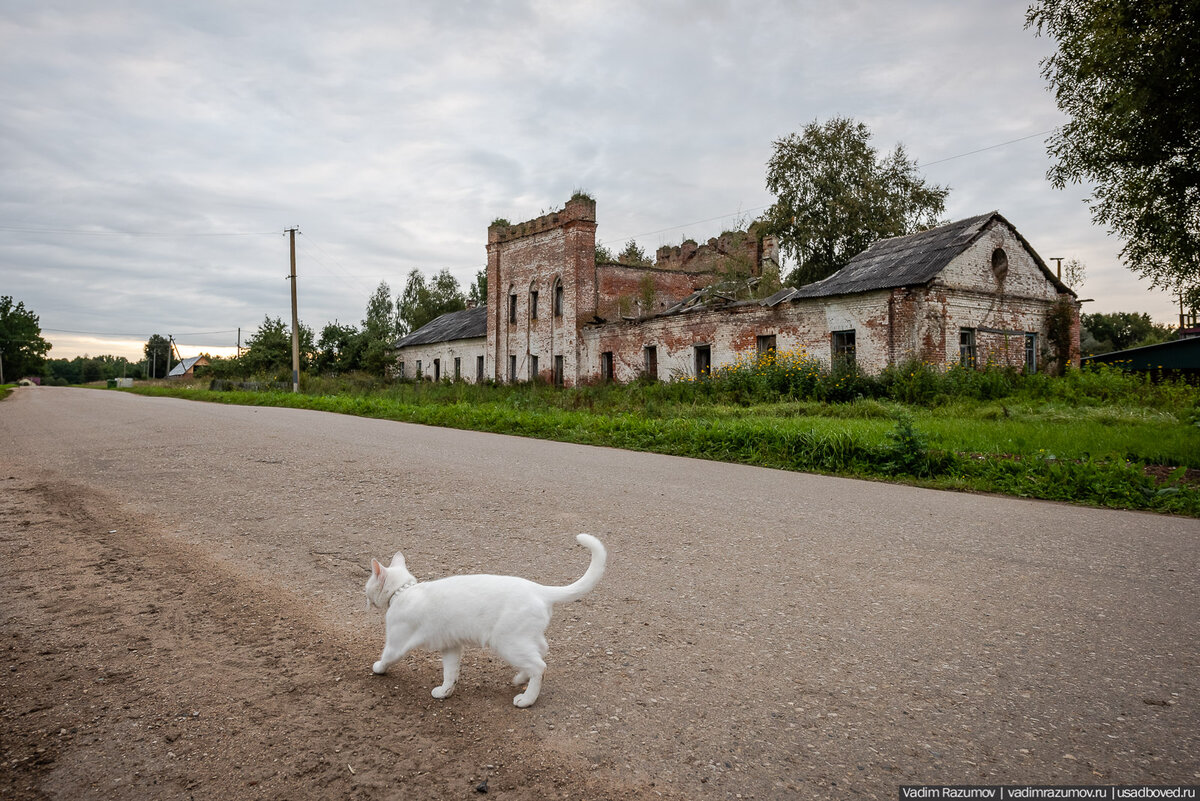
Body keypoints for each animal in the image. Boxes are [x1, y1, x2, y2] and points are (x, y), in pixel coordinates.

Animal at [362, 532, 609, 705]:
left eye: (367, 585)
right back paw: (520, 678)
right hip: (523, 640)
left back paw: (527, 699)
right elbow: (450, 673)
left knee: (540, 666)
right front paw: (445, 691)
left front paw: (378, 668)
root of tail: (539, 589)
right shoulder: (451, 646)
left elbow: (387, 657)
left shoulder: (397, 642)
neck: (403, 591)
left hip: (507, 642)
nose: (364, 596)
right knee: (541, 651)